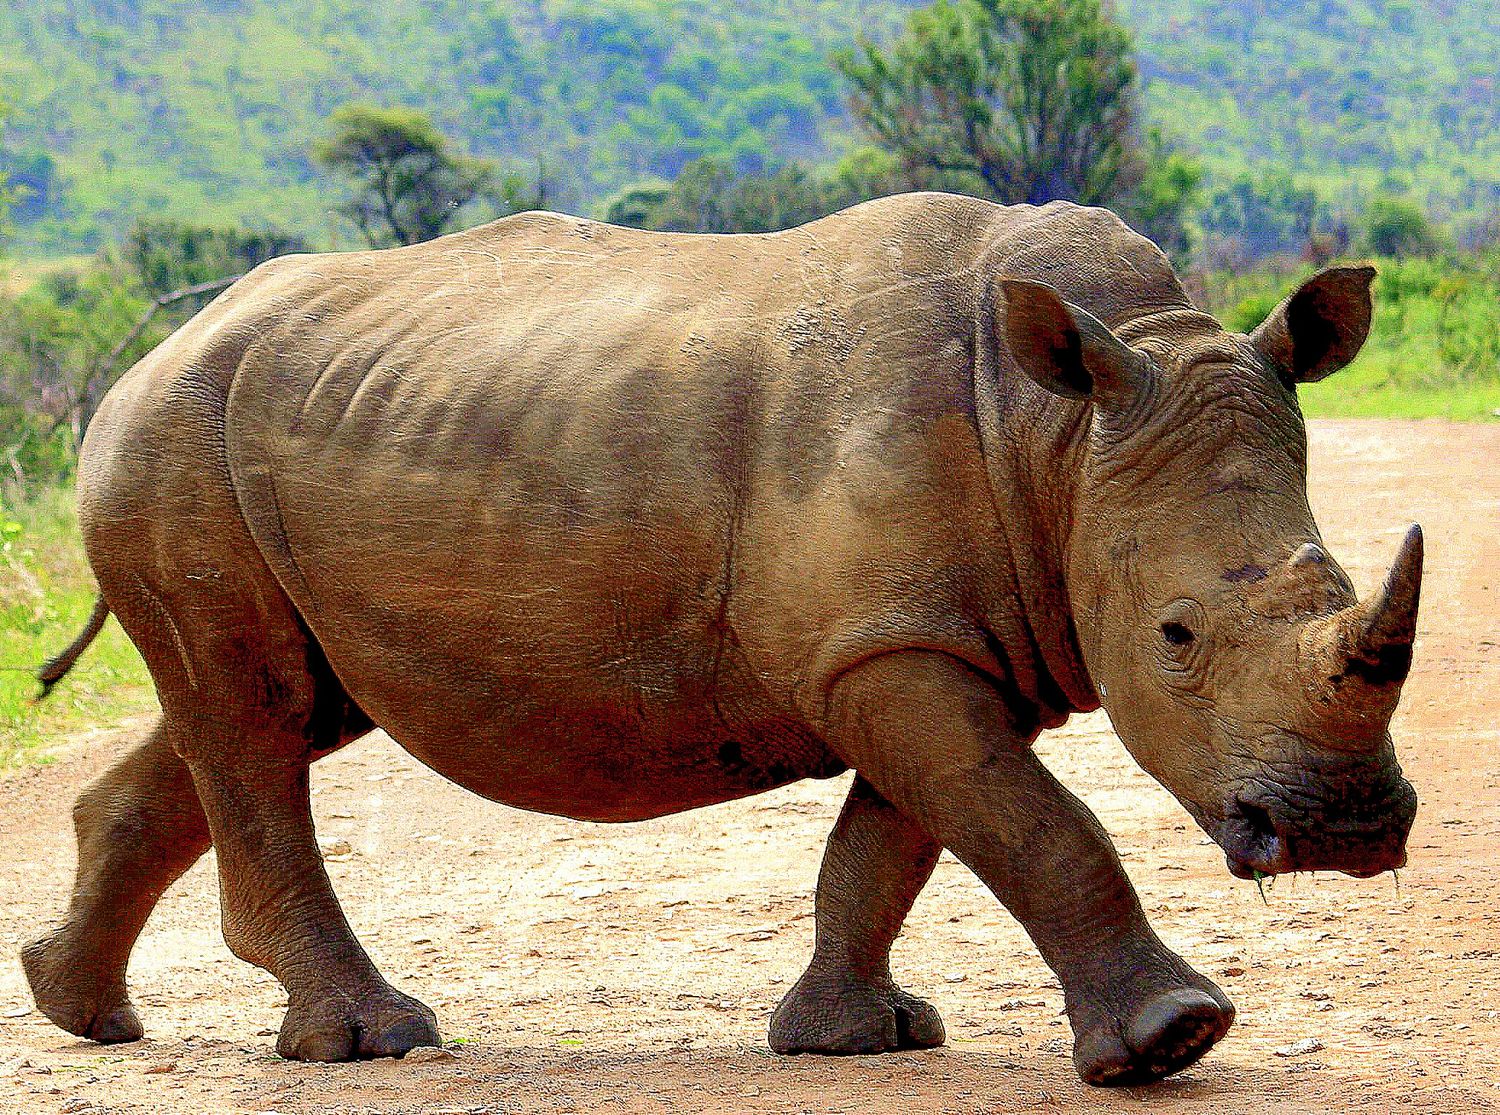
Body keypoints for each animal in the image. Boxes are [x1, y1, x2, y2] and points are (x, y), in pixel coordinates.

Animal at [25, 194, 1421, 1085]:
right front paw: (1175, 1038)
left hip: (283, 435)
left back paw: (82, 1012)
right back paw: (376, 1041)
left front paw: (853, 1038)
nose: (1347, 830)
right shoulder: (889, 648)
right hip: (175, 442)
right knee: (251, 711)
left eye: (1340, 583)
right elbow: (1037, 826)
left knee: (271, 710)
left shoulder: (917, 638)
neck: (1063, 439)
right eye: (1176, 633)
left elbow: (902, 840)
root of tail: (147, 357)